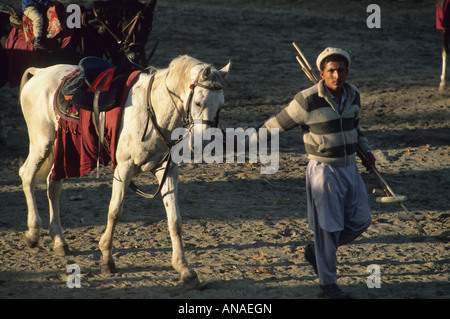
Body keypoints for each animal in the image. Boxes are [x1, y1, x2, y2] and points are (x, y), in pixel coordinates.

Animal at [18, 55, 230, 288]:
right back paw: (33, 232)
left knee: (53, 185)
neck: (153, 111)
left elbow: (175, 221)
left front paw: (184, 268)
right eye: (199, 102)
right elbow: (115, 212)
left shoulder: (167, 171)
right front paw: (107, 259)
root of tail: (40, 72)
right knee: (27, 175)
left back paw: (59, 241)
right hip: (43, 143)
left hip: (64, 150)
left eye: (221, 105)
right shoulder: (124, 168)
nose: (206, 142)